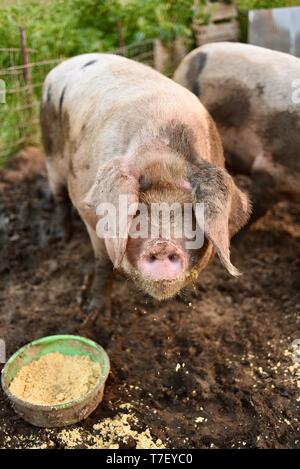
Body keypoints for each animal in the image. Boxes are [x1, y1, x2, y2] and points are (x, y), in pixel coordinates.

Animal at [40, 54, 251, 310]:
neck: (162, 156)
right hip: (50, 152)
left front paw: (189, 297)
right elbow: (103, 262)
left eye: (191, 216)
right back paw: (61, 238)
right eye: (137, 213)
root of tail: (61, 66)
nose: (161, 245)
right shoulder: (88, 209)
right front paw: (95, 312)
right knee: (59, 195)